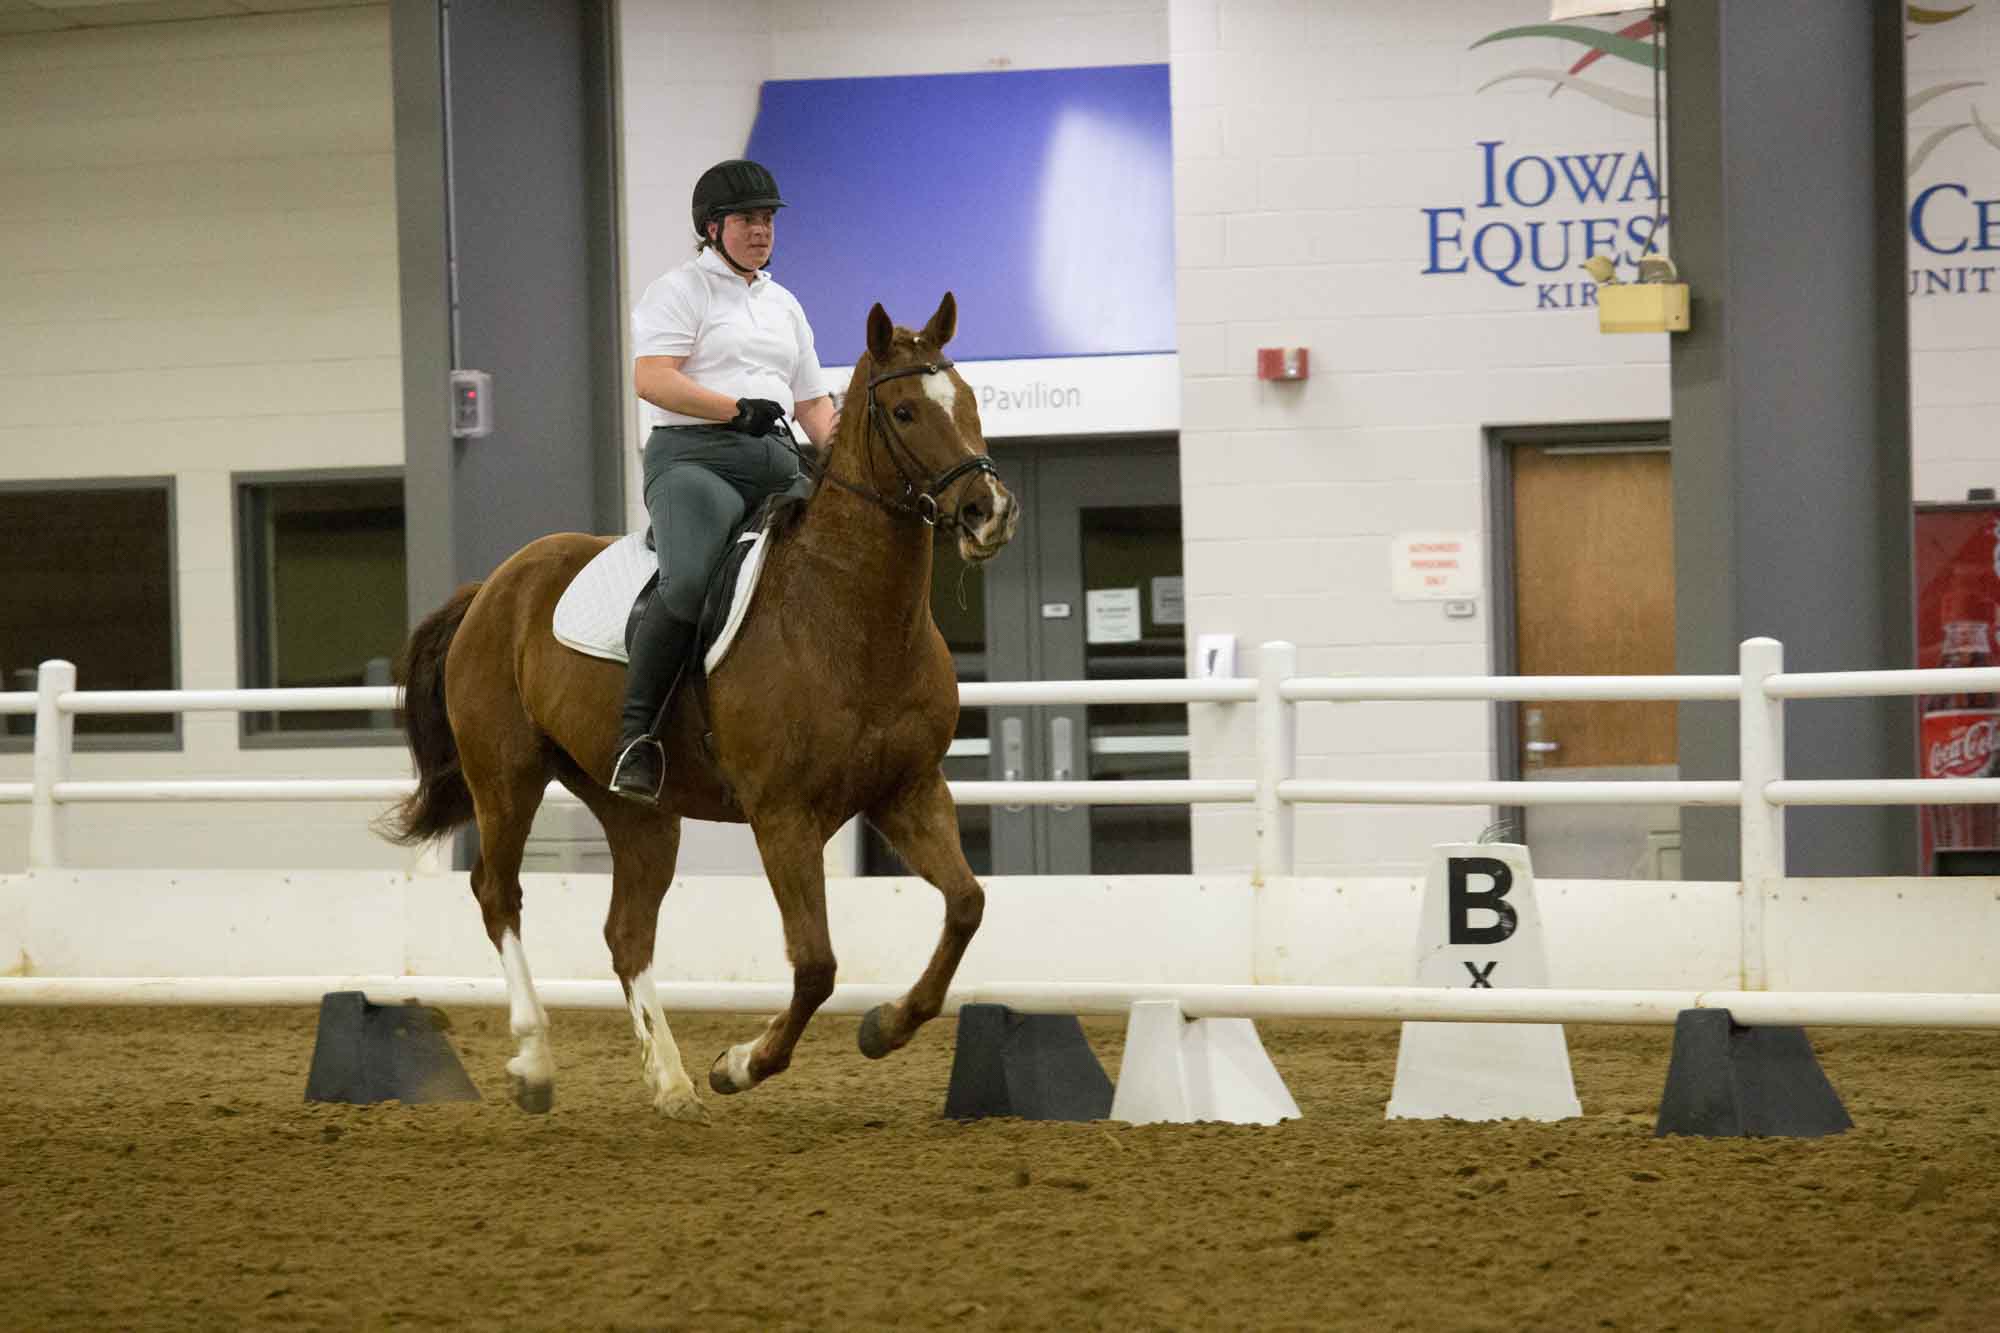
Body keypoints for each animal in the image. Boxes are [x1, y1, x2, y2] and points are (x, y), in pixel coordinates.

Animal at [381, 293, 1018, 1120]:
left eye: (968, 400)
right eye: (906, 410)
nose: (989, 511)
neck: (847, 611)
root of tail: (492, 585)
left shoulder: (908, 789)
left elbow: (966, 904)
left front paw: (885, 1026)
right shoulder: (784, 815)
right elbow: (816, 962)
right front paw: (743, 1063)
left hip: (639, 810)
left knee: (626, 932)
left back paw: (670, 1080)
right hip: (505, 777)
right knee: (498, 894)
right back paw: (536, 1061)